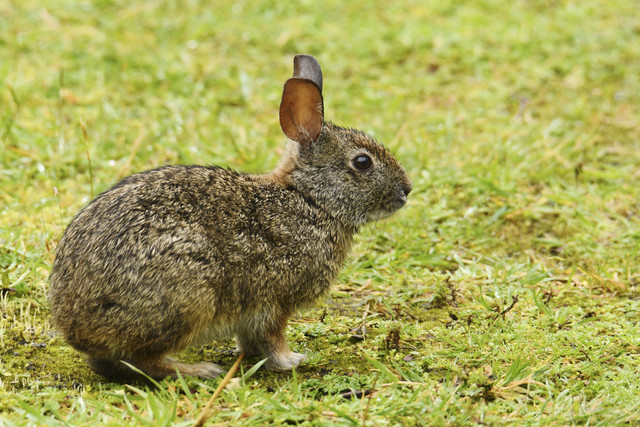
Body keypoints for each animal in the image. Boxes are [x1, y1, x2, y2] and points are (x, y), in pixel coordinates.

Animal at [47, 54, 412, 382]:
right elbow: (270, 337)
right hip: (187, 296)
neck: (310, 199)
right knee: (142, 360)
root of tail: (75, 324)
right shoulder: (275, 301)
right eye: (362, 162)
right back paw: (199, 371)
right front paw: (290, 360)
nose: (407, 190)